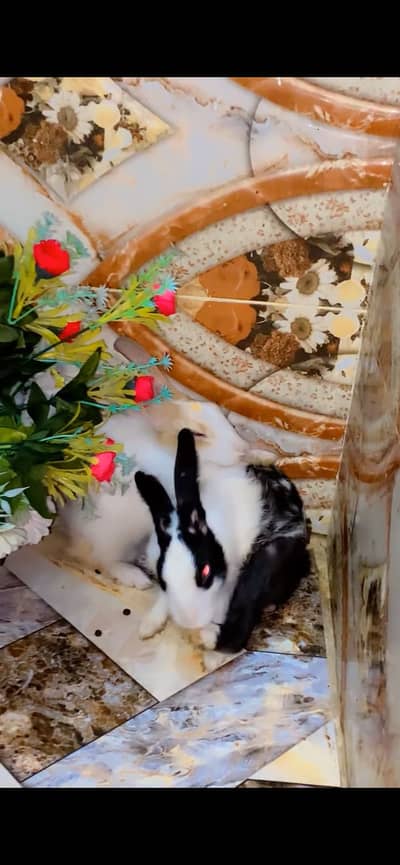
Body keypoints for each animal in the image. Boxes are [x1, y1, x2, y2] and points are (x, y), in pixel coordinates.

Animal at [135, 427, 311, 653]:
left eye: (205, 572)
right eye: (162, 579)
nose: (190, 621)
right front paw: (148, 626)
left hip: (270, 556)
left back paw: (208, 638)